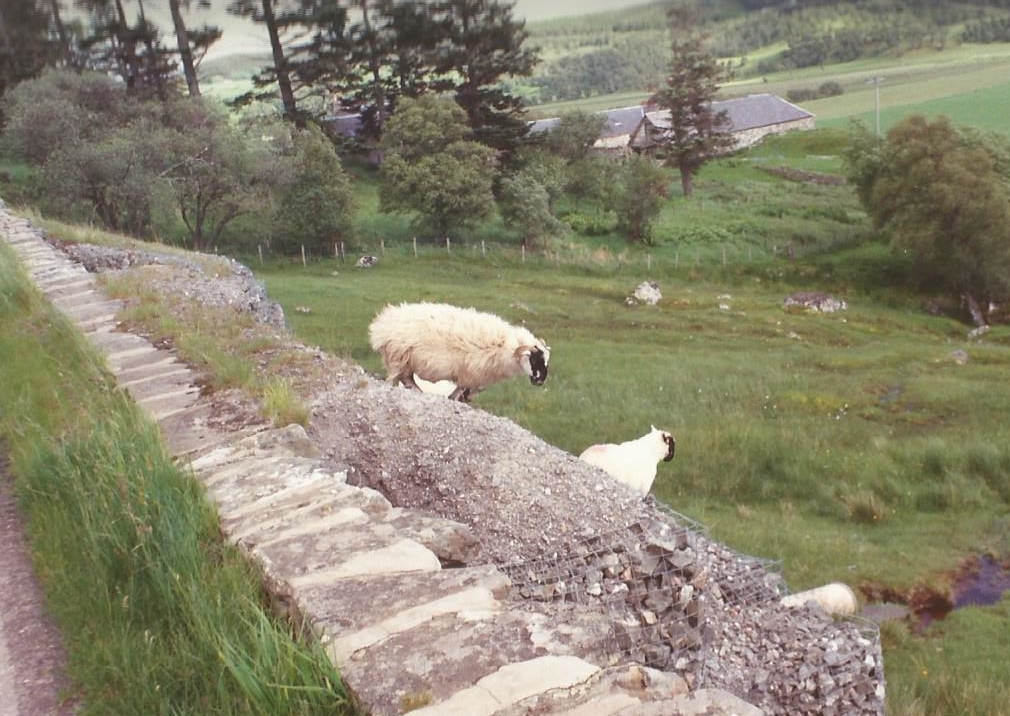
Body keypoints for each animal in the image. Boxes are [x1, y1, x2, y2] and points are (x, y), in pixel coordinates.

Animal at [367, 300, 549, 401]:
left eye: (546, 360)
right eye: (534, 359)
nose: (541, 381)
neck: (506, 347)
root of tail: (382, 324)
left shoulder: (476, 376)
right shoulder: (469, 372)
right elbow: (461, 389)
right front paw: (456, 398)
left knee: (407, 378)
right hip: (398, 357)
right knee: (402, 379)